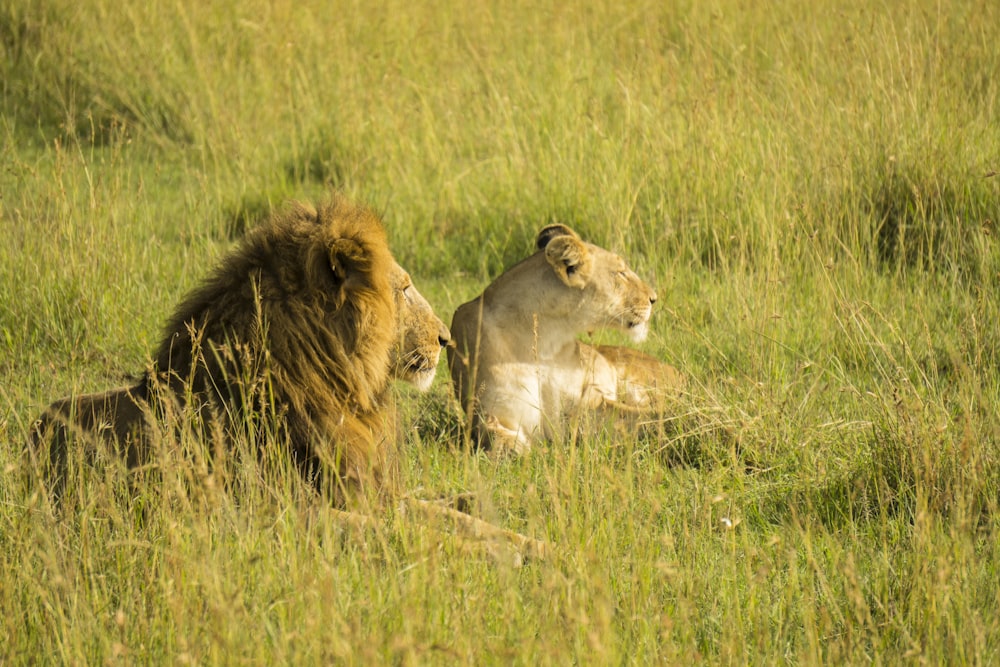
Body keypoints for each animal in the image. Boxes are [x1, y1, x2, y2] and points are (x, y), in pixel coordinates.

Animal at [450, 224, 684, 454]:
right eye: (621, 273)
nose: (654, 298)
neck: (543, 341)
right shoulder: (490, 415)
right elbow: (505, 444)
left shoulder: (587, 404)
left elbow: (651, 417)